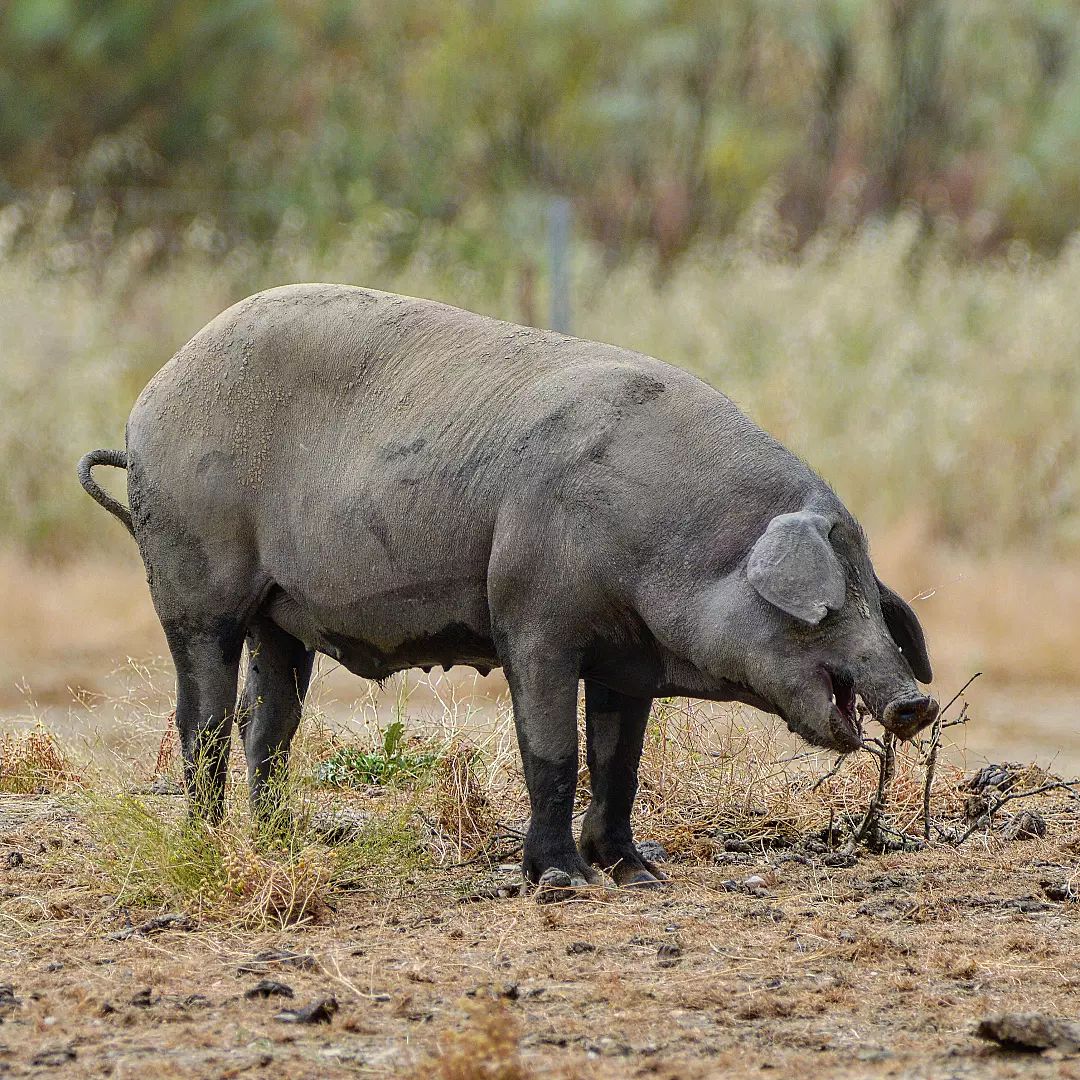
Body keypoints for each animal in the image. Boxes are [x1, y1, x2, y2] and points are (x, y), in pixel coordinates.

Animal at [78, 285, 937, 885]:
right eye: (828, 609)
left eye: (874, 602)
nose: (916, 703)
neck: (671, 541)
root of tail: (146, 407)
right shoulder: (535, 620)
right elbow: (552, 750)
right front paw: (561, 882)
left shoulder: (628, 661)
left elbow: (620, 762)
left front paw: (639, 875)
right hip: (194, 588)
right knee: (202, 721)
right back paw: (206, 841)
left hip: (281, 620)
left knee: (270, 725)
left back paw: (282, 840)